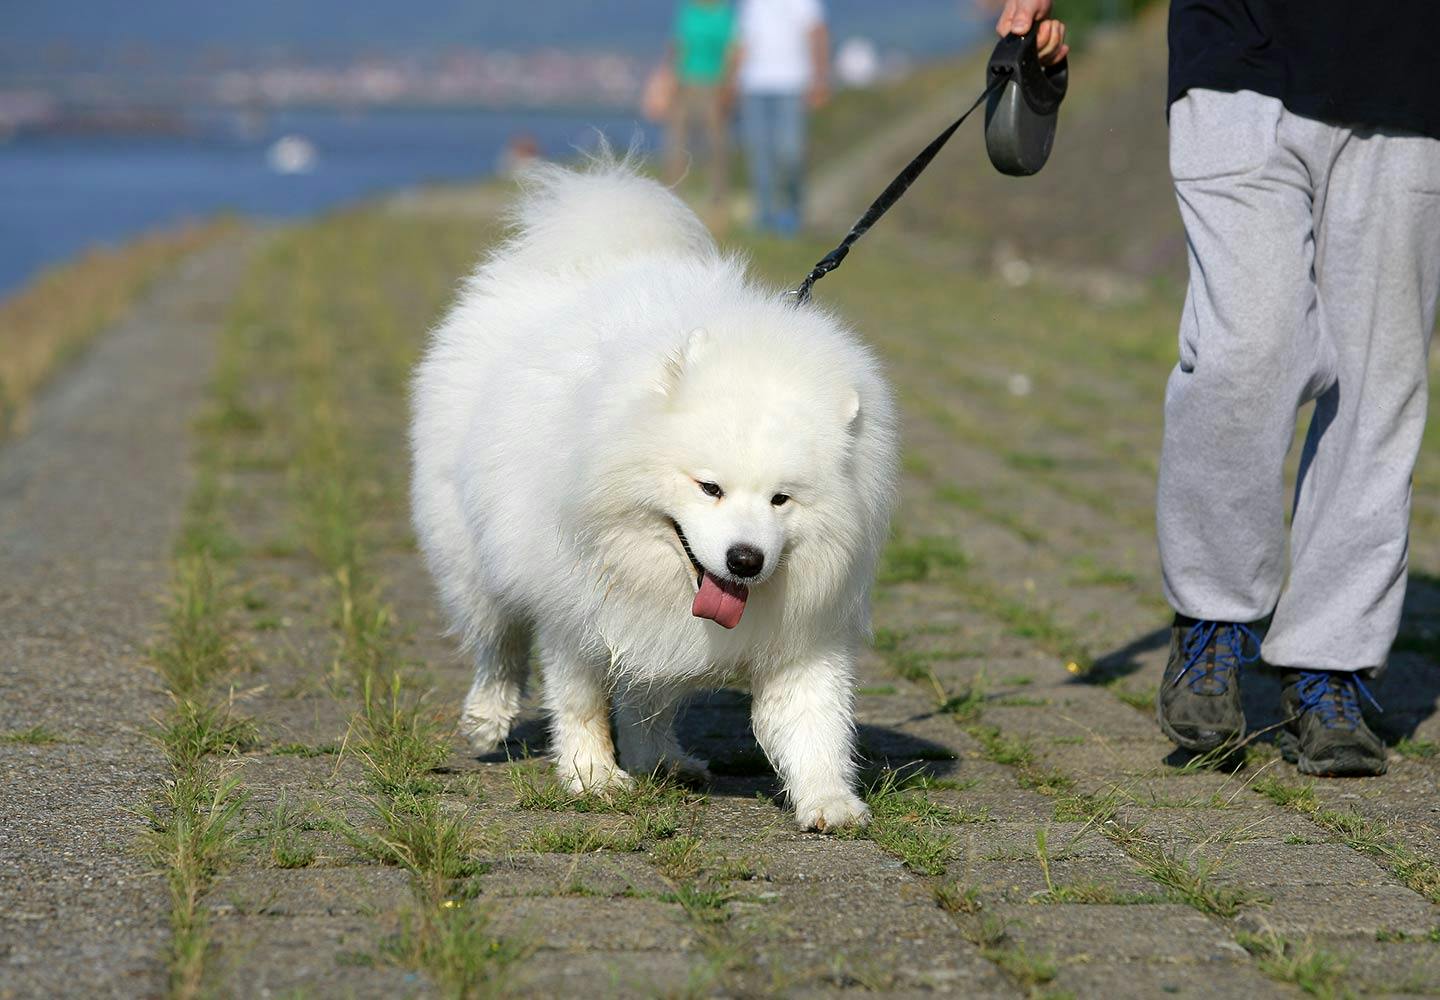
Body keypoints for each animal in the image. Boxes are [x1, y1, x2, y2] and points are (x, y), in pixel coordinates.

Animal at [408, 160, 887, 835]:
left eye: (781, 500)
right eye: (709, 487)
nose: (746, 560)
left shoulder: (804, 631)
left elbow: (813, 720)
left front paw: (829, 801)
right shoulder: (572, 605)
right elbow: (579, 700)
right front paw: (591, 777)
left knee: (645, 692)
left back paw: (662, 759)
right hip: (471, 552)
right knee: (497, 642)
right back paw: (487, 720)